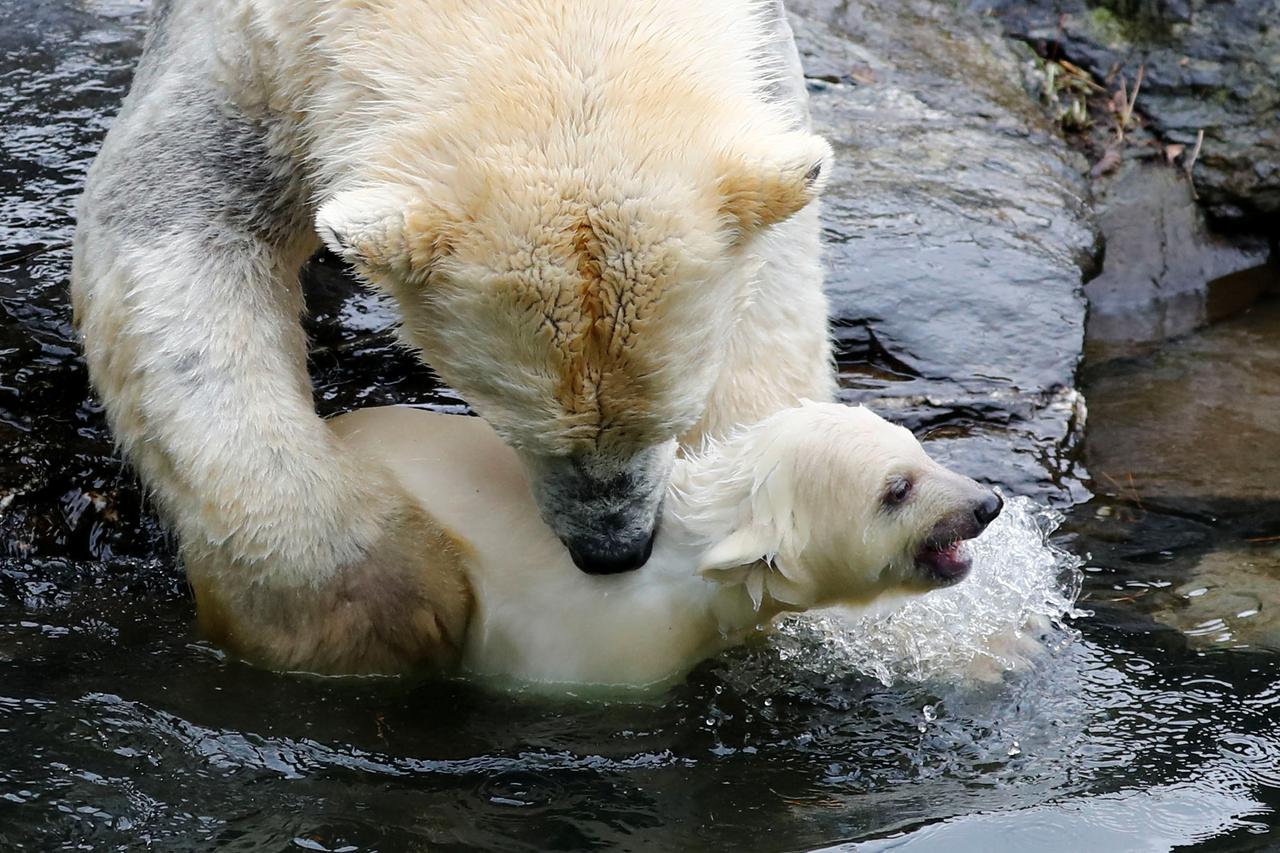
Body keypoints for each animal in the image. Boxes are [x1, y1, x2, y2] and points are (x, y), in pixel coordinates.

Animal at [70, 0, 834, 666]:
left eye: (670, 419)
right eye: (518, 428)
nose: (614, 550)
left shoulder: (763, 54)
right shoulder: (255, 57)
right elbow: (171, 222)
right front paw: (387, 607)